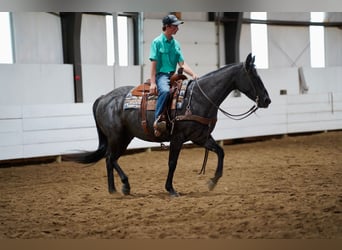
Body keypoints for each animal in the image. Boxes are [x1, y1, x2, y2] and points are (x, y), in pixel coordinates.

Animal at [64, 53, 272, 197]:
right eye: (255, 77)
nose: (267, 100)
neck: (198, 97)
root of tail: (103, 98)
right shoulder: (178, 137)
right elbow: (172, 163)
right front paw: (171, 189)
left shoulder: (200, 137)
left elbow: (220, 152)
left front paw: (212, 181)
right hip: (117, 137)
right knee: (110, 158)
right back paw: (124, 185)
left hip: (125, 137)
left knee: (110, 159)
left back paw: (114, 189)